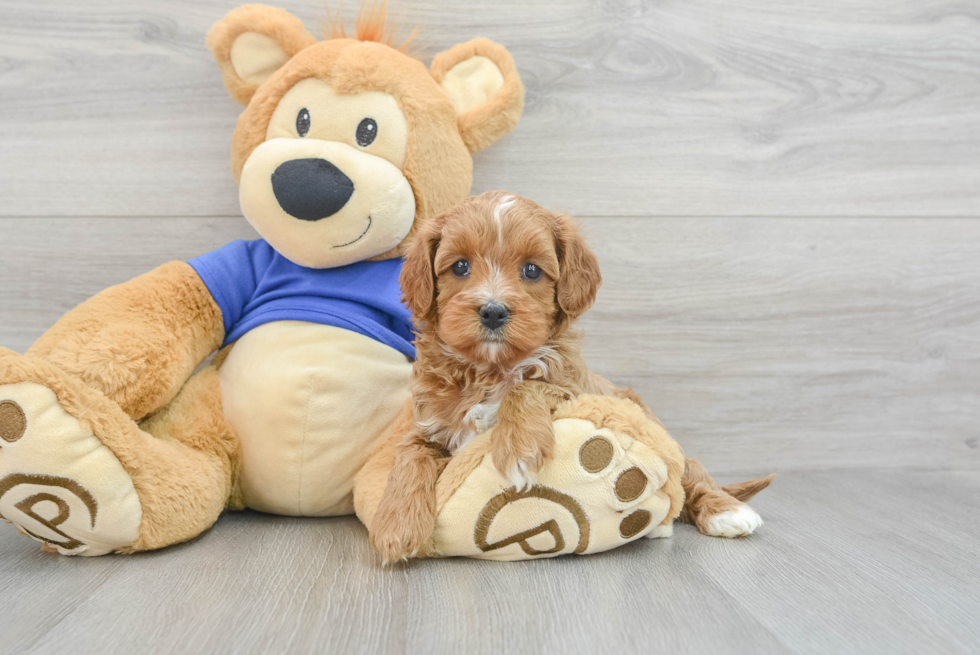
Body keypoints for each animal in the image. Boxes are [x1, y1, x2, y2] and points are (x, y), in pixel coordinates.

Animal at [370, 191, 772, 564]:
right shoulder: (430, 425)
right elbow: (410, 456)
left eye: (532, 270)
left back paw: (724, 512)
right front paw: (395, 526)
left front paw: (520, 449)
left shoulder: (573, 390)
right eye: (460, 266)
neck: (490, 369)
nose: (493, 311)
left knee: (693, 472)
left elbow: (528, 386)